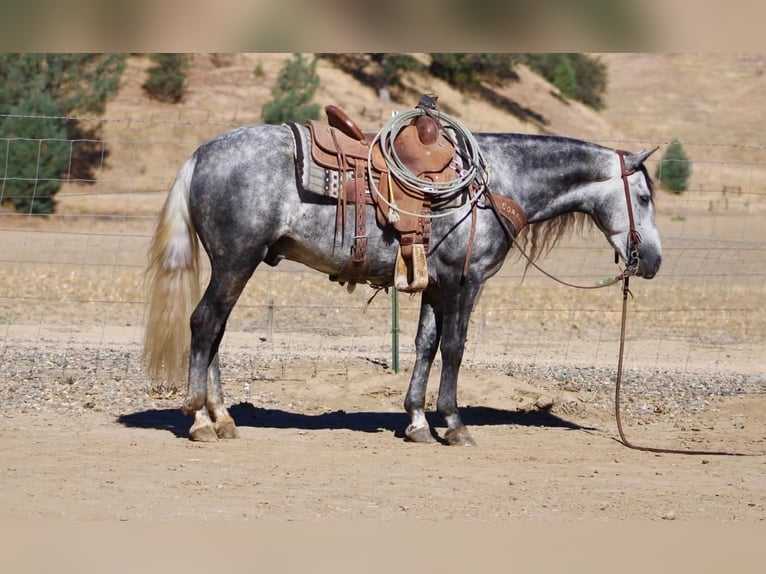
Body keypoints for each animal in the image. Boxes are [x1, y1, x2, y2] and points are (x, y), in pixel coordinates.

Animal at [143, 119, 662, 446]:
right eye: (643, 197)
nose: (653, 260)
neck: (495, 185)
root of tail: (200, 154)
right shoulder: (466, 282)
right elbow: (454, 348)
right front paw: (454, 423)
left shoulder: (437, 285)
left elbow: (424, 345)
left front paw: (416, 422)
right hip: (236, 262)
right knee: (205, 324)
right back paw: (200, 421)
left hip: (234, 266)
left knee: (216, 330)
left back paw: (223, 418)